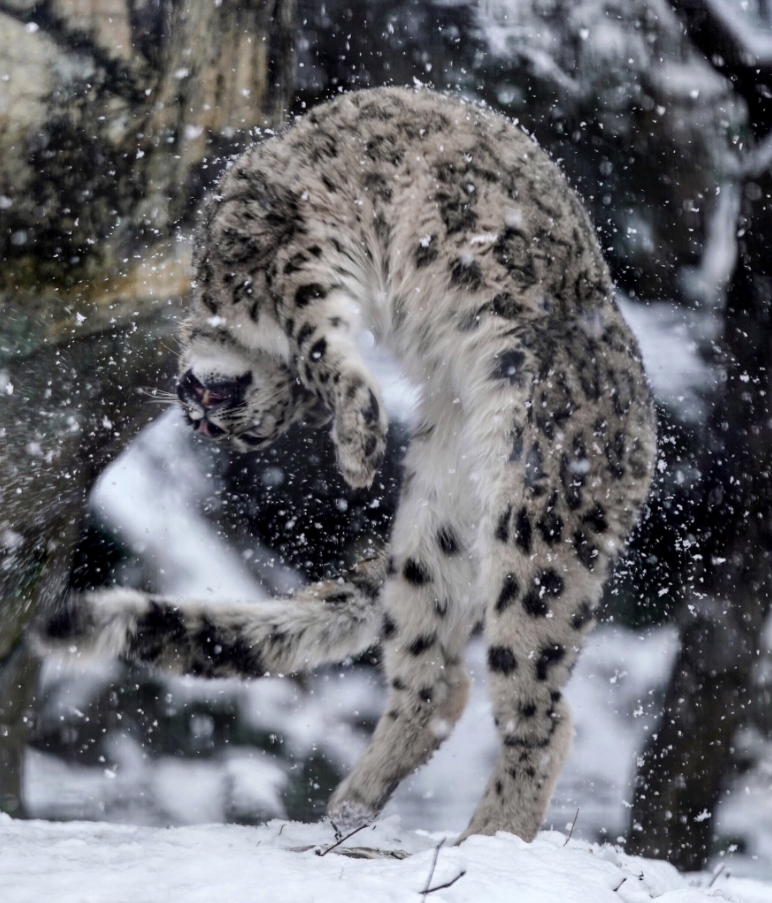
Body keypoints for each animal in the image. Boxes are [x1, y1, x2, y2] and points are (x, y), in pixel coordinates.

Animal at [45, 88, 656, 844]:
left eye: (249, 424)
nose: (210, 422)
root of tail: (645, 441)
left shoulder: (293, 243)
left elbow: (315, 332)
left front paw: (359, 438)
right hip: (437, 525)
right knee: (437, 677)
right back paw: (348, 810)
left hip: (543, 525)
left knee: (539, 705)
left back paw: (492, 835)